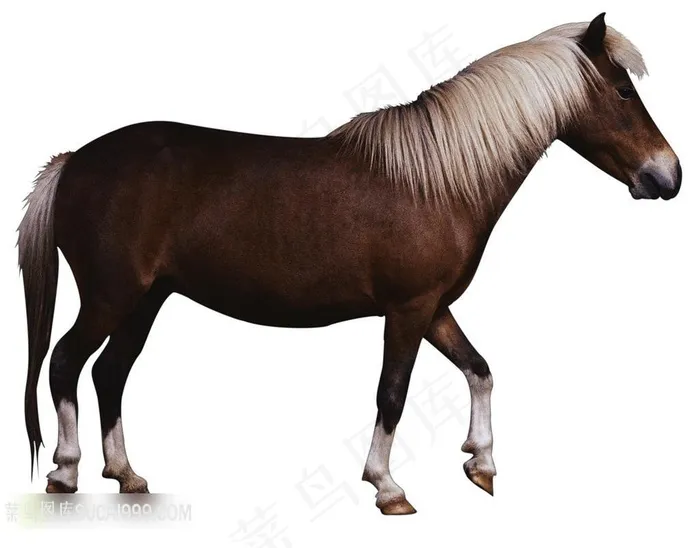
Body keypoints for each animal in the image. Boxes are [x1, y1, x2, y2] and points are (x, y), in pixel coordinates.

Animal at [18, 14, 681, 515]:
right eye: (625, 91)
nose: (667, 176)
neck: (436, 181)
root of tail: (74, 162)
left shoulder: (435, 309)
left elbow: (481, 370)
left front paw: (482, 462)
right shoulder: (407, 311)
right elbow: (392, 393)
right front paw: (388, 488)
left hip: (146, 301)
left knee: (110, 374)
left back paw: (126, 475)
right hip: (112, 297)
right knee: (67, 362)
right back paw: (66, 473)